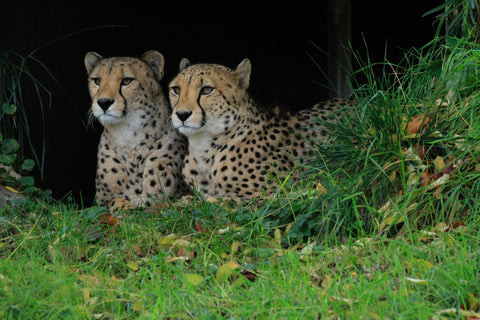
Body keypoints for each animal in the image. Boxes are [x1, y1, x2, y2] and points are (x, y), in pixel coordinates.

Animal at [83, 49, 188, 205]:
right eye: (97, 81)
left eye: (127, 81)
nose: (103, 102)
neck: (128, 135)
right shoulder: (102, 202)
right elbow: (116, 202)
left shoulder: (159, 198)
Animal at [169, 57, 344, 199]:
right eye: (176, 89)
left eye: (207, 90)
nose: (182, 114)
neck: (204, 148)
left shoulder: (278, 193)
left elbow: (217, 202)